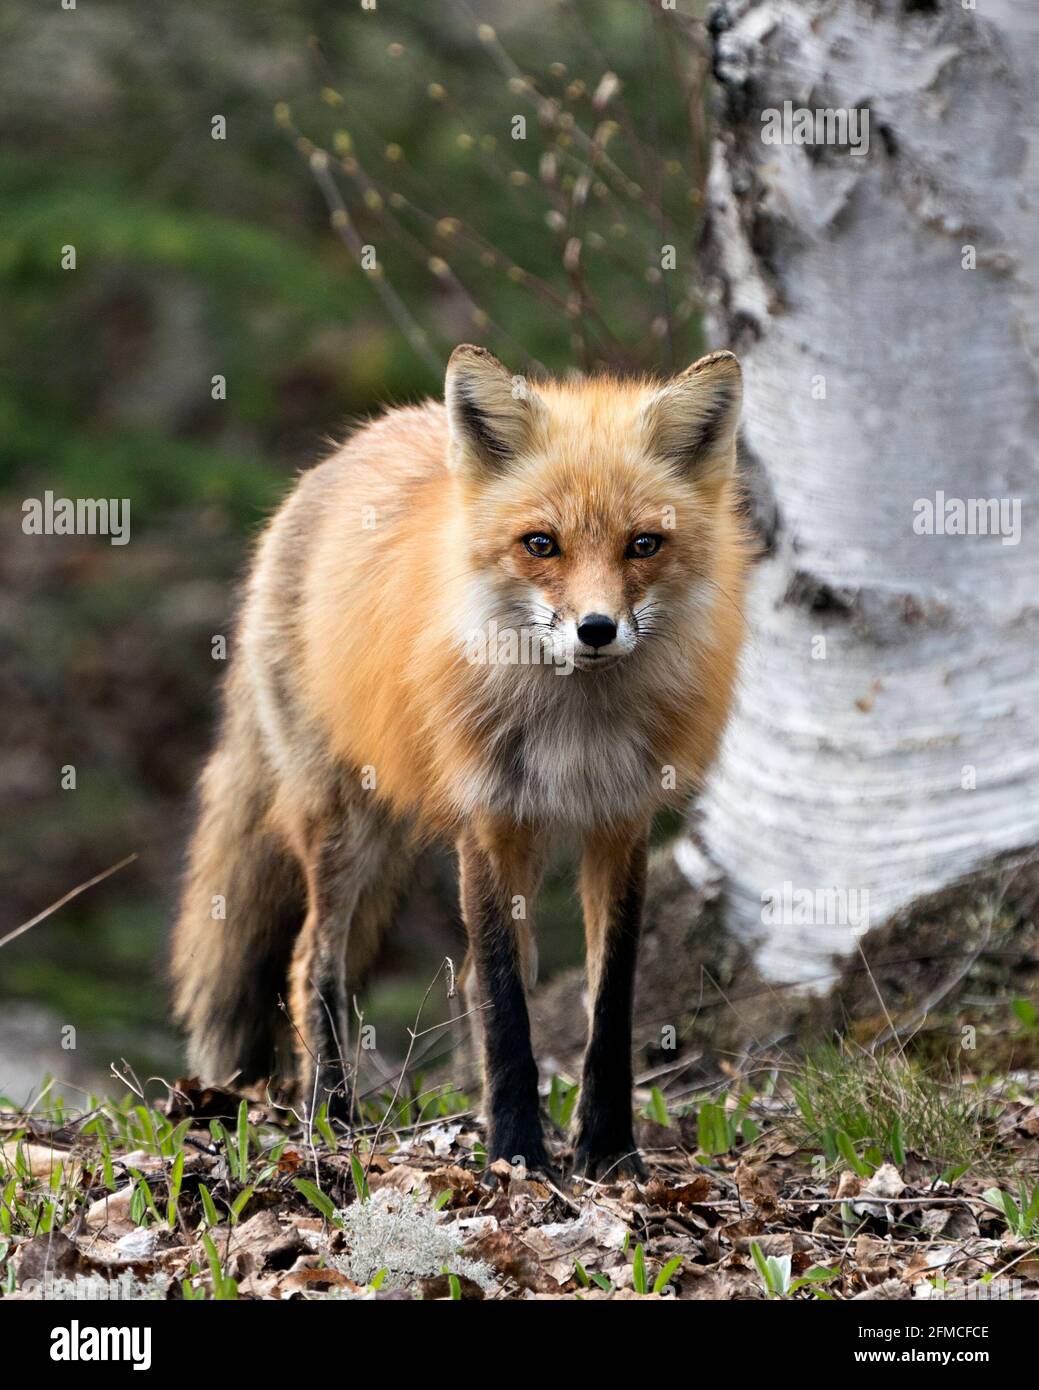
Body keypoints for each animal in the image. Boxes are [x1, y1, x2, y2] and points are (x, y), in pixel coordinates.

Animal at [174, 344, 751, 1173]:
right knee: (311, 961)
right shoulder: (487, 820)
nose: (596, 629)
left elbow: (608, 1002)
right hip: (343, 820)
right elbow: (504, 1004)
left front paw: (605, 1149)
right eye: (540, 544)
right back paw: (332, 1116)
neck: (575, 725)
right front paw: (516, 1151)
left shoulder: (619, 822)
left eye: (643, 544)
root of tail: (342, 452)